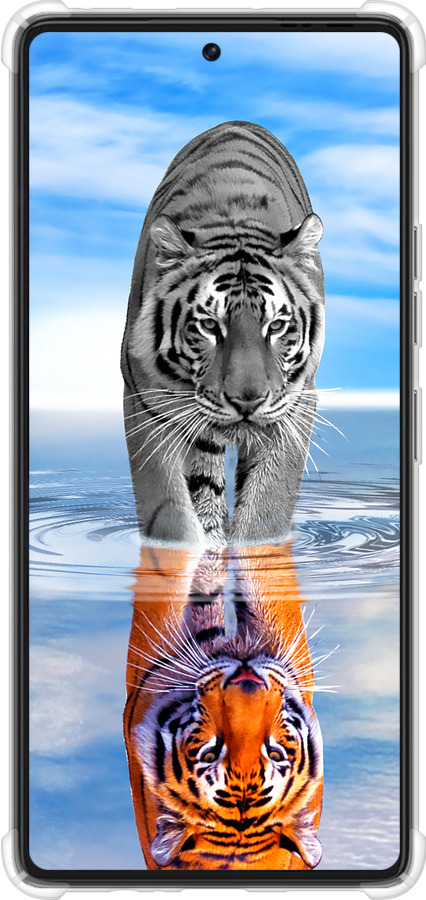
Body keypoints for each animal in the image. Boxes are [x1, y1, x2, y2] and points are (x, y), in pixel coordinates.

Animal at [120, 120, 325, 549]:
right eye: (210, 325)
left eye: (276, 326)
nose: (247, 401)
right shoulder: (145, 401)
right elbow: (169, 512)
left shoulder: (296, 404)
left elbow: (267, 509)